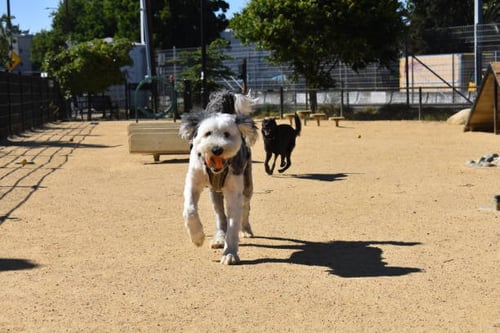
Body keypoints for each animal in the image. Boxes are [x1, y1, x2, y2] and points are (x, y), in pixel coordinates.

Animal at [179, 91, 258, 264]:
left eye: (227, 134)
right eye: (207, 133)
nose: (216, 149)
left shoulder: (234, 192)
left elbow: (233, 223)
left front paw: (230, 253)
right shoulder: (193, 183)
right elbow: (190, 210)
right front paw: (197, 237)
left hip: (247, 184)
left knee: (245, 207)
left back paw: (246, 229)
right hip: (214, 193)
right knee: (220, 216)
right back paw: (219, 238)